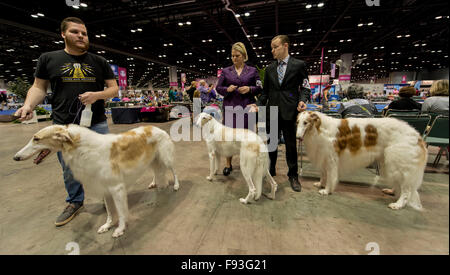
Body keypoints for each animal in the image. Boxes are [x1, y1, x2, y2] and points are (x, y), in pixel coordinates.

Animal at [12, 124, 178, 237]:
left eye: (36, 139)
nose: (15, 157)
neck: (80, 147)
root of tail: (155, 127)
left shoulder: (116, 188)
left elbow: (121, 212)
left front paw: (120, 229)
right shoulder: (105, 188)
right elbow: (110, 212)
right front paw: (107, 225)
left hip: (166, 158)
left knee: (173, 170)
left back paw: (176, 185)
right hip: (152, 160)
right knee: (156, 172)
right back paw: (154, 183)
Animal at [298, 111, 428, 210]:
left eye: (306, 123)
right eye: (297, 122)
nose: (298, 137)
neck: (320, 128)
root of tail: (418, 136)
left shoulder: (331, 158)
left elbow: (330, 177)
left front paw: (326, 190)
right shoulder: (323, 156)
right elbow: (323, 174)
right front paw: (320, 183)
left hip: (399, 163)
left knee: (406, 190)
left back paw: (398, 204)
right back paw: (392, 191)